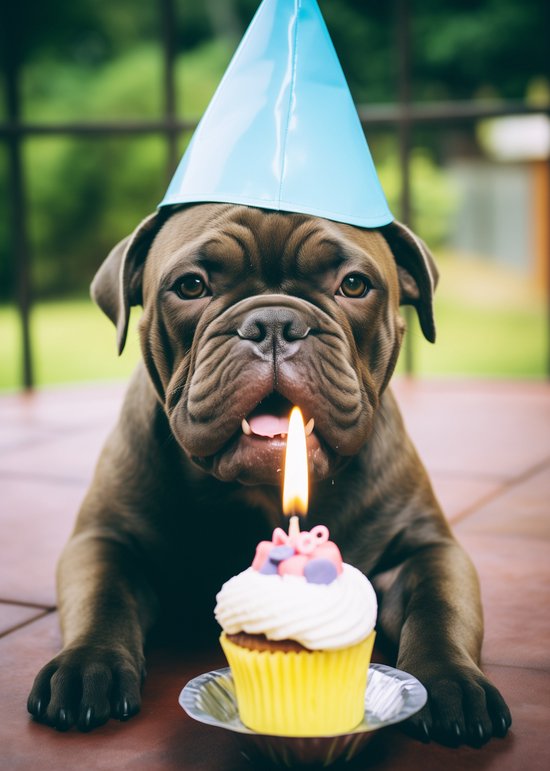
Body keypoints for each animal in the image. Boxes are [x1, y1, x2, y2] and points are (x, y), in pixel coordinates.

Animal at [28, 202, 512, 744]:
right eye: (191, 286)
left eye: (354, 285)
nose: (276, 323)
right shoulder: (101, 539)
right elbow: (101, 597)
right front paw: (86, 666)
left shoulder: (427, 547)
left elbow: (440, 605)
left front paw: (450, 682)